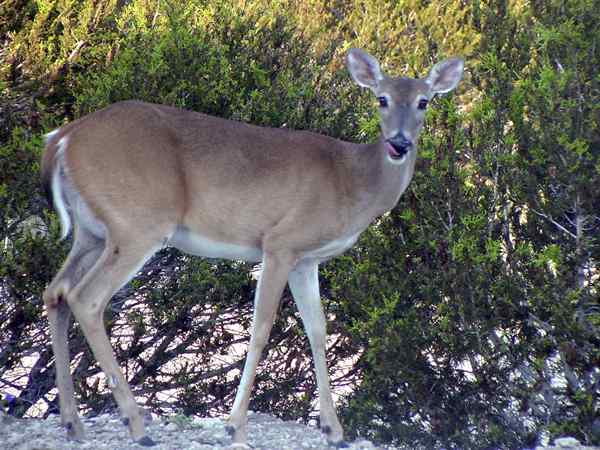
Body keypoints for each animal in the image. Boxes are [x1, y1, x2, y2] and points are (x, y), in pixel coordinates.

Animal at [41, 49, 464, 446]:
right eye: (381, 98)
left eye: (424, 101)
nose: (399, 143)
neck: (350, 181)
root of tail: (62, 138)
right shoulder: (280, 243)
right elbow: (261, 328)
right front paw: (236, 426)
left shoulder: (306, 260)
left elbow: (318, 329)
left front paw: (334, 430)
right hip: (138, 223)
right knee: (87, 298)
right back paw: (136, 425)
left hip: (92, 232)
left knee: (56, 291)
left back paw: (73, 423)